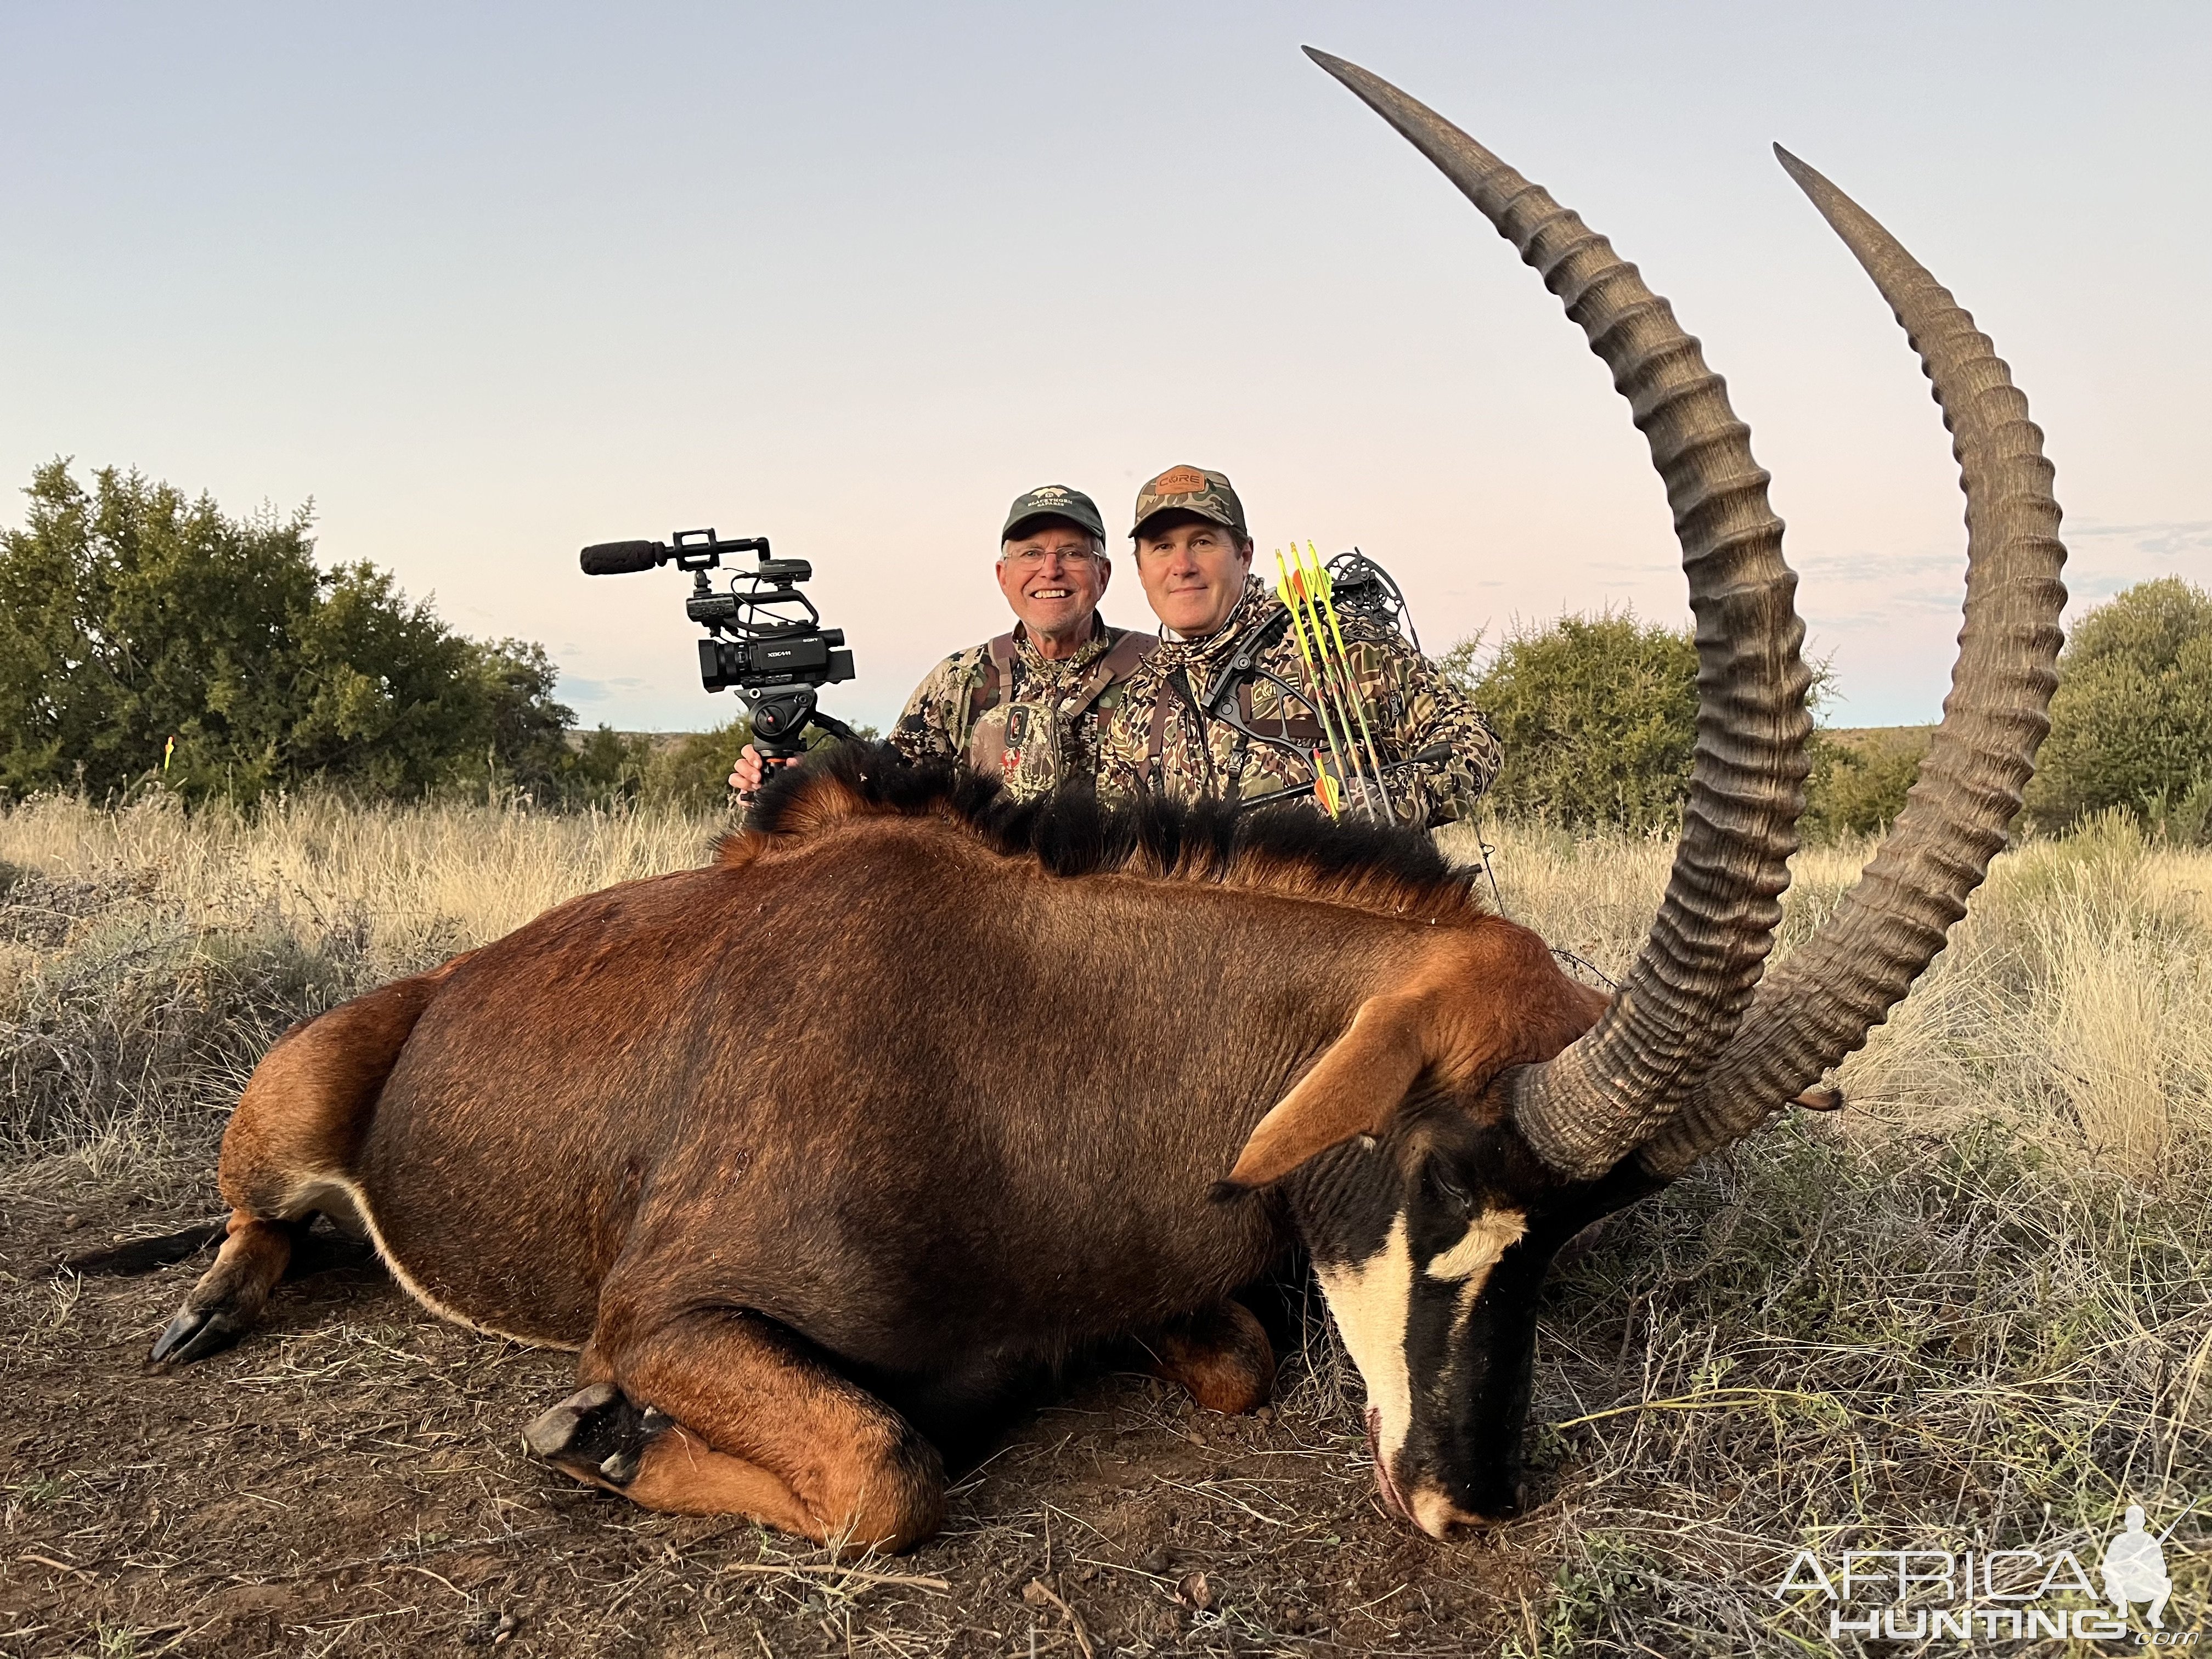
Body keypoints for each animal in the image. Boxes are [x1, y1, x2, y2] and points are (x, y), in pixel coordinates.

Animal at [147, 55, 2061, 1557]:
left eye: (1578, 1235)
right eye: (1445, 1172)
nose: (1469, 1502)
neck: (1013, 1055)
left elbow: (1224, 1352)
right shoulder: (663, 1310)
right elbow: (888, 1470)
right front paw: (592, 1435)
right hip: (297, 1106)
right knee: (261, 1216)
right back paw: (207, 1306)